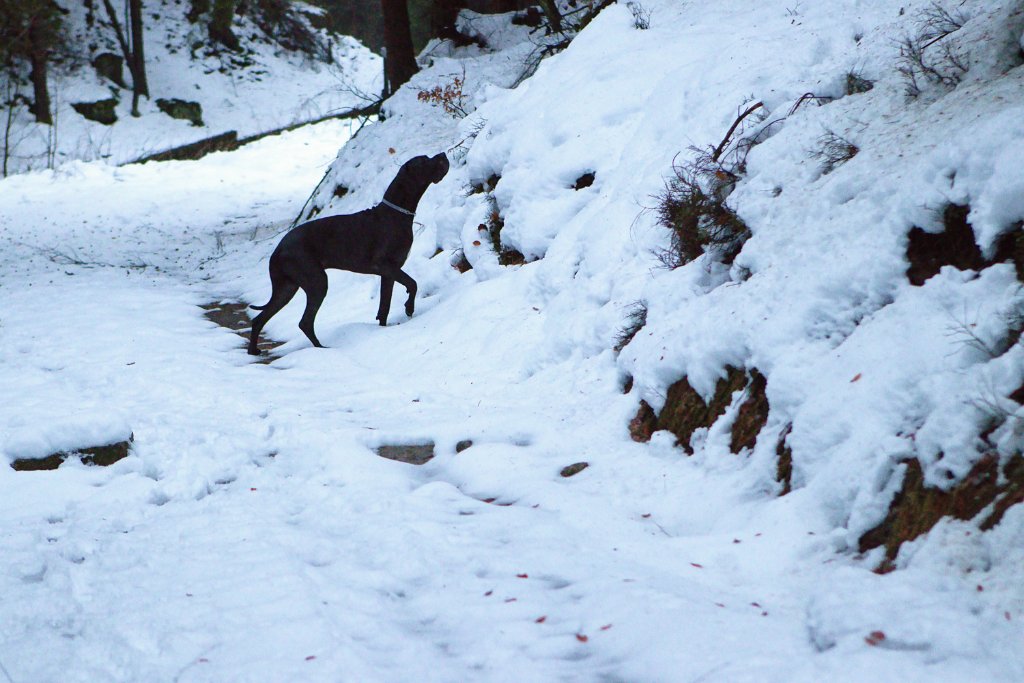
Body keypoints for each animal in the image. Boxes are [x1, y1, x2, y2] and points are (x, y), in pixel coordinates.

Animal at [246, 154, 448, 356]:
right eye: (424, 161)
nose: (443, 155)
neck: (395, 214)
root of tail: (278, 249)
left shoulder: (388, 274)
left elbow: (385, 306)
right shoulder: (384, 265)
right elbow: (413, 284)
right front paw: (409, 308)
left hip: (287, 287)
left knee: (260, 319)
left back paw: (253, 350)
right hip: (317, 282)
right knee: (305, 322)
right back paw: (321, 349)